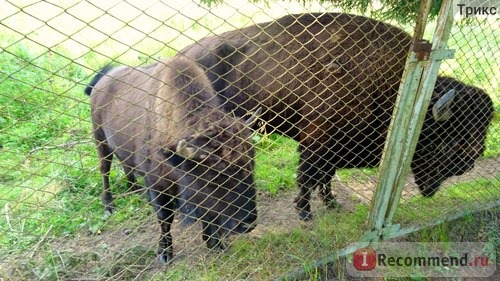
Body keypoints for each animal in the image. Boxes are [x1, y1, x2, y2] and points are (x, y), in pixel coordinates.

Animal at [84, 55, 260, 262]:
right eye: (212, 177)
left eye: (251, 165)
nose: (248, 224)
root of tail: (104, 78)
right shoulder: (158, 183)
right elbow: (165, 217)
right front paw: (165, 253)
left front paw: (215, 242)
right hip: (100, 140)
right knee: (105, 169)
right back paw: (109, 205)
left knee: (126, 164)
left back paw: (136, 189)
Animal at [179, 12, 492, 219]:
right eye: (449, 142)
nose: (469, 163)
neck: (404, 88)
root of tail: (183, 54)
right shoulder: (317, 142)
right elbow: (308, 176)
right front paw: (305, 213)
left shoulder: (334, 147)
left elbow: (325, 176)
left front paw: (331, 204)